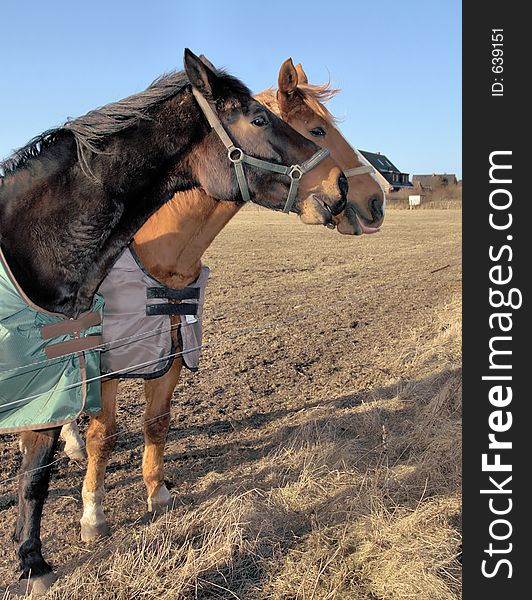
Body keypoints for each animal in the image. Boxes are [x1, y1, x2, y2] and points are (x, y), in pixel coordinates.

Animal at [60, 61, 384, 552]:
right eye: (316, 129)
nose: (374, 199)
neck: (160, 254)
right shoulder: (108, 361)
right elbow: (105, 435)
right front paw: (94, 515)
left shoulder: (175, 349)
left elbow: (157, 423)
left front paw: (157, 493)